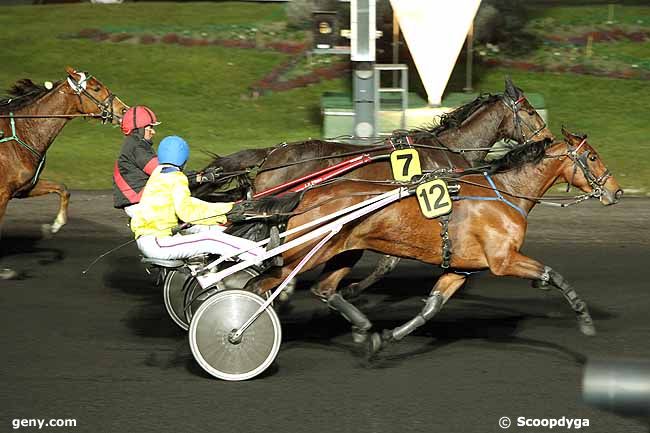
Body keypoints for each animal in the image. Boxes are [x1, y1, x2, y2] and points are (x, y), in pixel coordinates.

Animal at [0, 66, 128, 278]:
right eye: (96, 88)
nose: (124, 109)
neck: (22, 132)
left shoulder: (24, 188)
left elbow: (63, 189)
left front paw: (54, 226)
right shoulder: (3, 194)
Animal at [195, 77, 548, 296]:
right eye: (530, 111)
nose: (546, 138)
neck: (446, 148)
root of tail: (272, 153)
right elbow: (389, 261)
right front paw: (352, 289)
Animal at [246, 128, 620, 354]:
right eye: (592, 156)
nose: (615, 191)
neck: (503, 193)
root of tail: (306, 194)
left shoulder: (460, 269)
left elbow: (431, 308)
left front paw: (387, 337)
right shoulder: (504, 259)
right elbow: (552, 274)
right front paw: (584, 317)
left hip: (344, 251)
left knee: (323, 289)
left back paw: (362, 326)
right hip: (303, 253)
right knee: (259, 284)